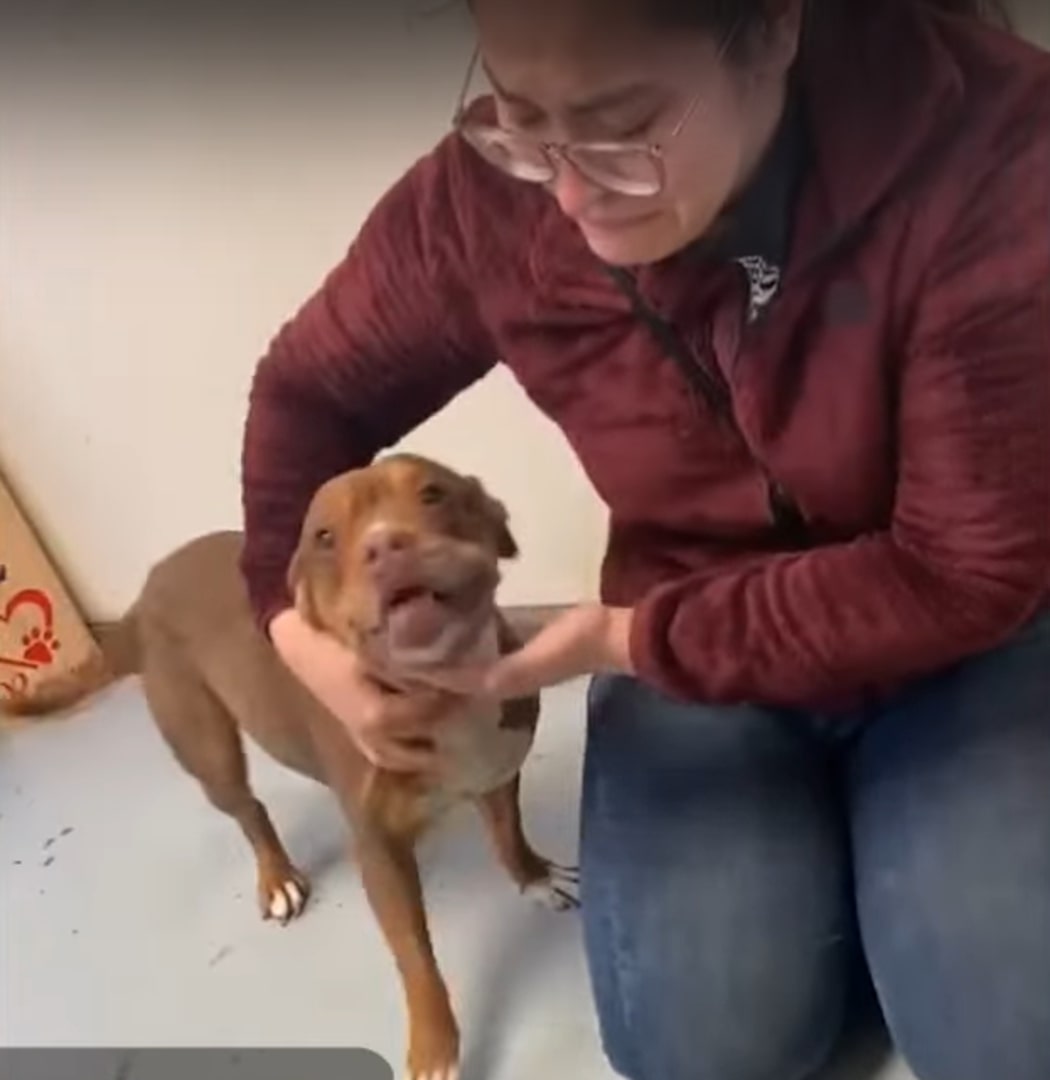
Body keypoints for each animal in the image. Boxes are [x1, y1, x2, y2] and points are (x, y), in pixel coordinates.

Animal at [6, 453, 574, 1080]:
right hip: (207, 749)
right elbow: (415, 959)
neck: (444, 694)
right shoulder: (377, 854)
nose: (385, 544)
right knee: (248, 808)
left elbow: (508, 834)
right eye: (324, 537)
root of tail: (139, 598)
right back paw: (277, 876)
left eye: (433, 493)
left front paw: (534, 876)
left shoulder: (496, 771)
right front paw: (433, 1048)